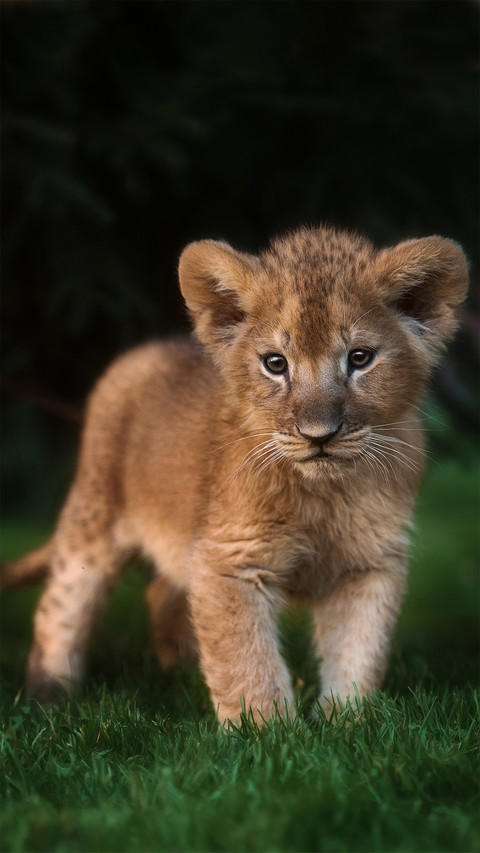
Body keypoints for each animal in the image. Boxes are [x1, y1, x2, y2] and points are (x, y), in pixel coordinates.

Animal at [1, 225, 468, 724]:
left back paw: (179, 670)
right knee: (64, 602)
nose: (319, 435)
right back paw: (49, 697)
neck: (323, 493)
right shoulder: (229, 557)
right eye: (275, 363)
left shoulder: (371, 562)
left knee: (162, 594)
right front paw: (269, 732)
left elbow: (359, 651)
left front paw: (348, 723)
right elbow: (247, 659)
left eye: (360, 358)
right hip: (93, 515)